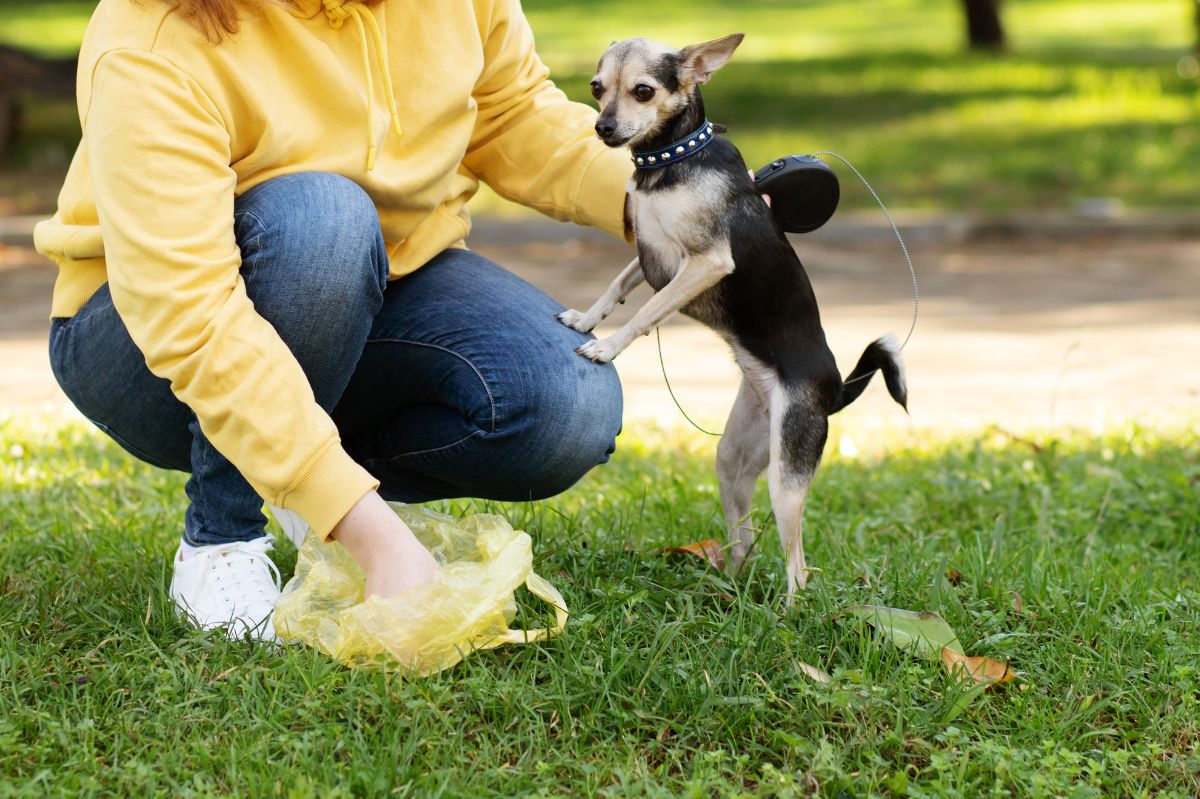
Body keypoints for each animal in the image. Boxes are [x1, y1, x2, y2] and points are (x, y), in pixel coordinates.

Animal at [556, 35, 902, 597]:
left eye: (643, 91)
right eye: (596, 88)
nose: (603, 127)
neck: (670, 158)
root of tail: (833, 389)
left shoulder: (704, 263)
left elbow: (646, 312)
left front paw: (607, 345)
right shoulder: (648, 254)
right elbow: (616, 287)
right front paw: (589, 320)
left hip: (786, 472)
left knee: (798, 565)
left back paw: (786, 610)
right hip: (735, 461)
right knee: (743, 540)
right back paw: (728, 590)